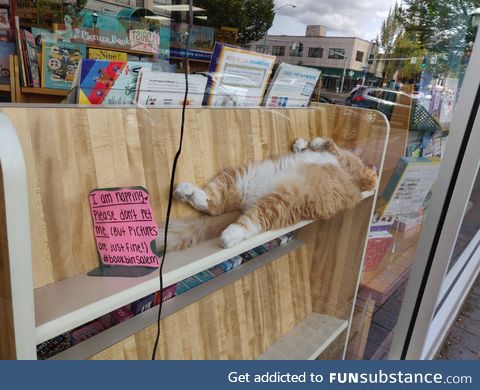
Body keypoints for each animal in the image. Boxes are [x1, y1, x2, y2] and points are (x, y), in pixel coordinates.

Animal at [156, 137, 376, 251]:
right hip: (242, 179)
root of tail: (252, 198)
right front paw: (304, 144)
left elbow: (331, 143)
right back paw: (187, 191)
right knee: (211, 203)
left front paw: (314, 143)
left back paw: (229, 236)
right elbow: (327, 144)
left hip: (278, 203)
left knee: (247, 221)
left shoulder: (359, 173)